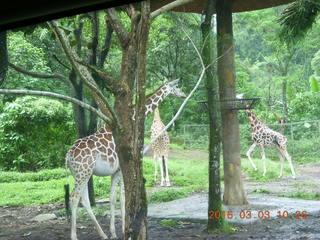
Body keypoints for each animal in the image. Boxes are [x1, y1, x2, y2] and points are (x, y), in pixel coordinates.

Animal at [65, 79, 186, 240]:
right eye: (177, 86)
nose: (183, 95)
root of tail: (68, 156)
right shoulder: (122, 169)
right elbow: (123, 198)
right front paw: (124, 229)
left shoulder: (115, 171)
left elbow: (112, 198)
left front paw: (114, 232)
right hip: (83, 173)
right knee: (74, 197)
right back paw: (74, 236)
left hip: (82, 174)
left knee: (84, 200)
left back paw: (102, 234)